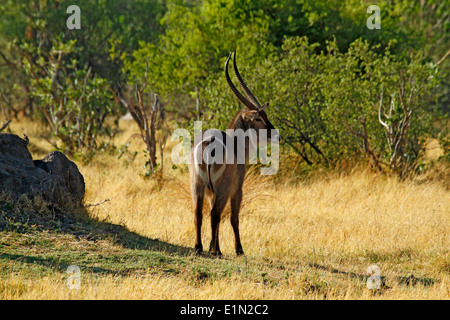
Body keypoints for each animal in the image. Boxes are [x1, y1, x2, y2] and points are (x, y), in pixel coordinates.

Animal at [187, 51, 278, 256]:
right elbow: (233, 218)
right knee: (215, 214)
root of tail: (208, 142)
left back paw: (199, 248)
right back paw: (216, 252)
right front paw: (238, 249)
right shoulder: (237, 189)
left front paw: (213, 246)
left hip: (197, 184)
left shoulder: (211, 191)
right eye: (258, 118)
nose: (275, 134)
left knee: (198, 213)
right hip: (222, 187)